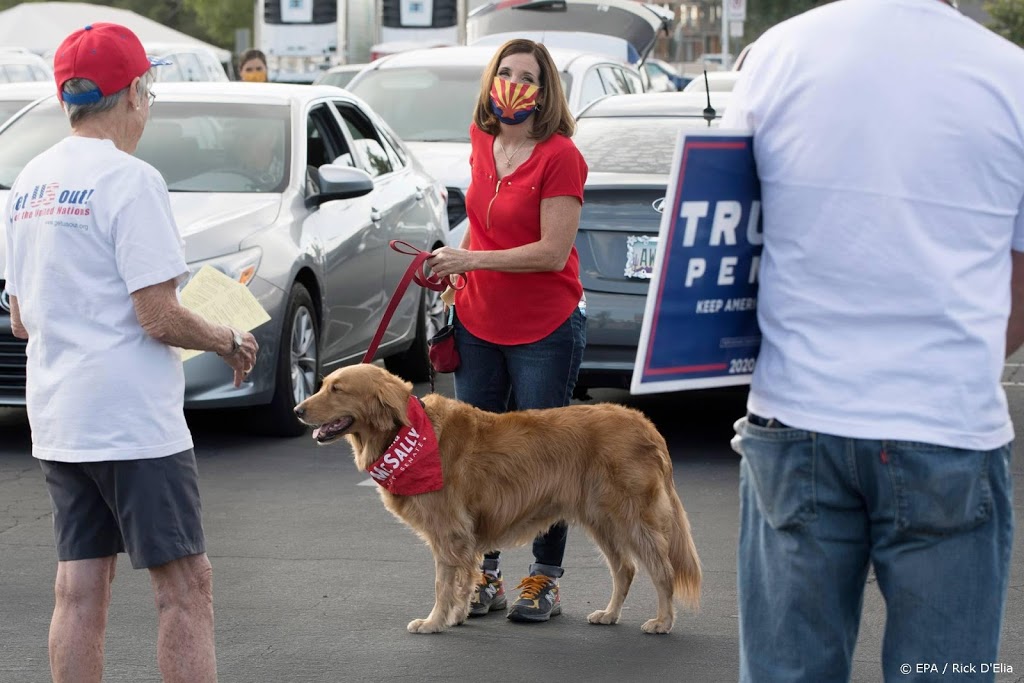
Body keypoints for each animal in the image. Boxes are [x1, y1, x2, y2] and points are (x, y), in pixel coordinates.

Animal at [292, 362, 700, 634]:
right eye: (323, 385)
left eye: (338, 389)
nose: (297, 410)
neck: (402, 435)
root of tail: (643, 422)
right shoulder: (462, 538)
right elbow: (464, 579)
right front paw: (457, 615)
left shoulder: (449, 532)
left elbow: (443, 584)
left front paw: (434, 621)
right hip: (602, 520)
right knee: (625, 569)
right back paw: (609, 614)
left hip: (630, 517)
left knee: (662, 570)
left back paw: (663, 621)